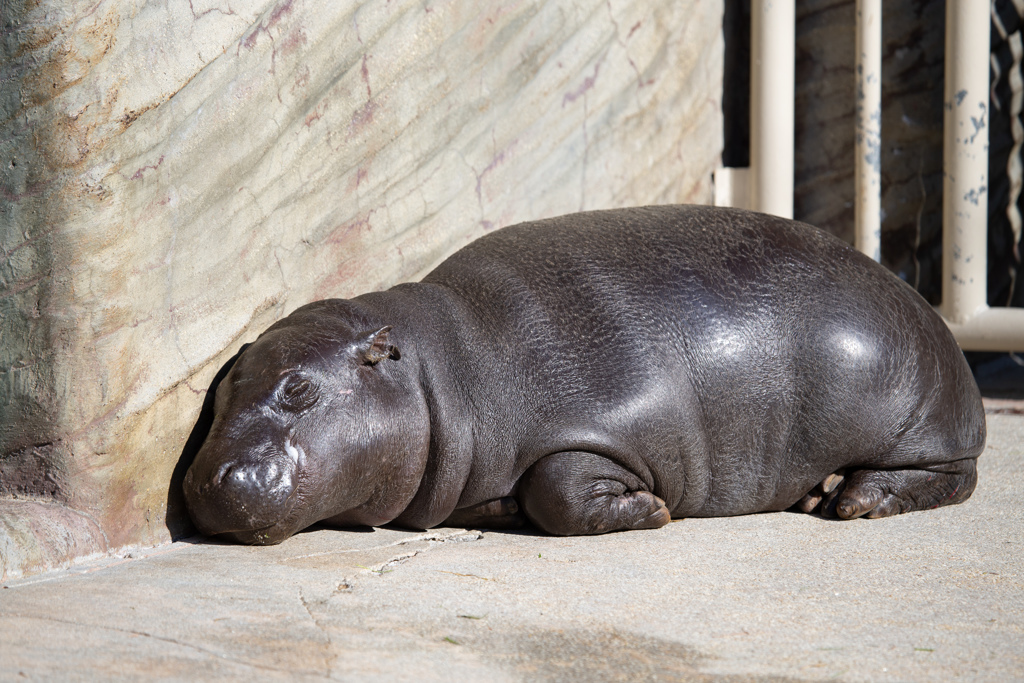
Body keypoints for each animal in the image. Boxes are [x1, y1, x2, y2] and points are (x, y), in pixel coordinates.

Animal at [182, 204, 983, 544]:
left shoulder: (617, 421)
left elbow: (559, 487)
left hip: (921, 422)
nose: (208, 479)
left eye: (300, 389)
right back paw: (822, 489)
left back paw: (852, 499)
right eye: (222, 390)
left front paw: (650, 511)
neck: (446, 373)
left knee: (951, 476)